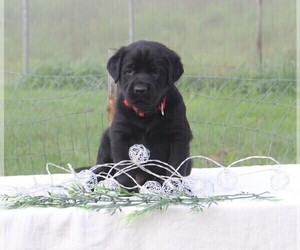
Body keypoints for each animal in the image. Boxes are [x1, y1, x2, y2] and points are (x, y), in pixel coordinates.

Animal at [79, 40, 193, 189]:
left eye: (155, 72)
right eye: (129, 71)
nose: (140, 89)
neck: (146, 114)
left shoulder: (178, 134)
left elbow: (176, 164)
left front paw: (173, 186)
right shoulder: (120, 134)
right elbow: (124, 165)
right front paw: (126, 187)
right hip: (105, 140)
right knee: (100, 168)